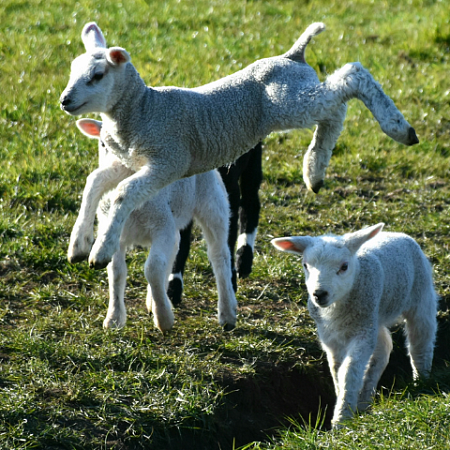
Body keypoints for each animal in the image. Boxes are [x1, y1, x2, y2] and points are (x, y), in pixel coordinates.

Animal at [59, 22, 418, 270]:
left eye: (97, 75)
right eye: (72, 70)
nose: (64, 101)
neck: (142, 109)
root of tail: (293, 55)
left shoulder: (167, 160)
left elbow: (122, 194)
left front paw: (101, 250)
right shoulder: (128, 162)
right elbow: (94, 182)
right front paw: (79, 244)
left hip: (288, 102)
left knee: (351, 77)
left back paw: (399, 128)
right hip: (296, 100)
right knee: (335, 110)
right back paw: (315, 169)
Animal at [72, 118, 237, 332]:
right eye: (103, 145)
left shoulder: (162, 227)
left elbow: (152, 268)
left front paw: (164, 318)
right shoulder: (115, 236)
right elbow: (117, 272)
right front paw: (114, 318)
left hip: (212, 202)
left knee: (219, 255)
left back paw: (227, 313)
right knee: (173, 252)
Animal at [167, 143, 262, 306]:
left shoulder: (229, 193)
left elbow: (228, 239)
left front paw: (230, 281)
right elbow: (181, 243)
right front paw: (173, 288)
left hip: (253, 162)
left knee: (251, 204)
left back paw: (244, 259)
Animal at [272, 223, 438, 428]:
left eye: (344, 266)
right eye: (305, 265)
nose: (319, 294)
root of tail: (397, 233)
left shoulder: (362, 333)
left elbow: (349, 371)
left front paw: (341, 419)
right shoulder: (331, 337)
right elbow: (336, 370)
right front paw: (345, 404)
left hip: (420, 295)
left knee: (420, 342)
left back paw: (421, 382)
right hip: (375, 318)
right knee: (383, 349)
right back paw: (364, 403)